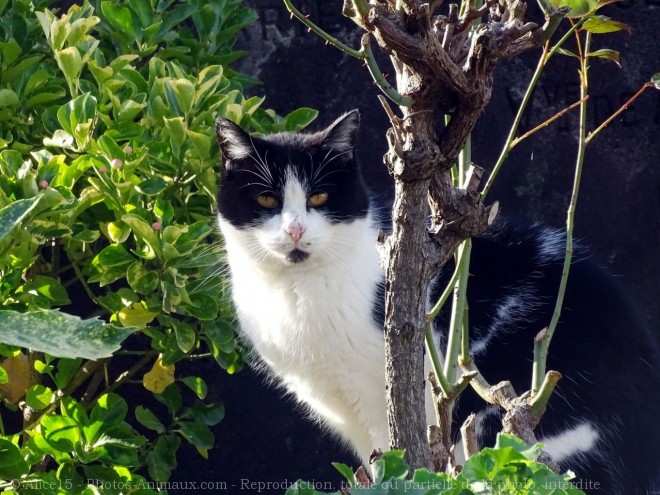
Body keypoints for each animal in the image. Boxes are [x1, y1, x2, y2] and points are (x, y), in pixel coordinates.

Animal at [215, 110, 660, 494]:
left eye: (320, 198)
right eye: (266, 201)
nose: (295, 231)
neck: (295, 290)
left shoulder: (387, 396)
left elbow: (398, 458)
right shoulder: (344, 411)